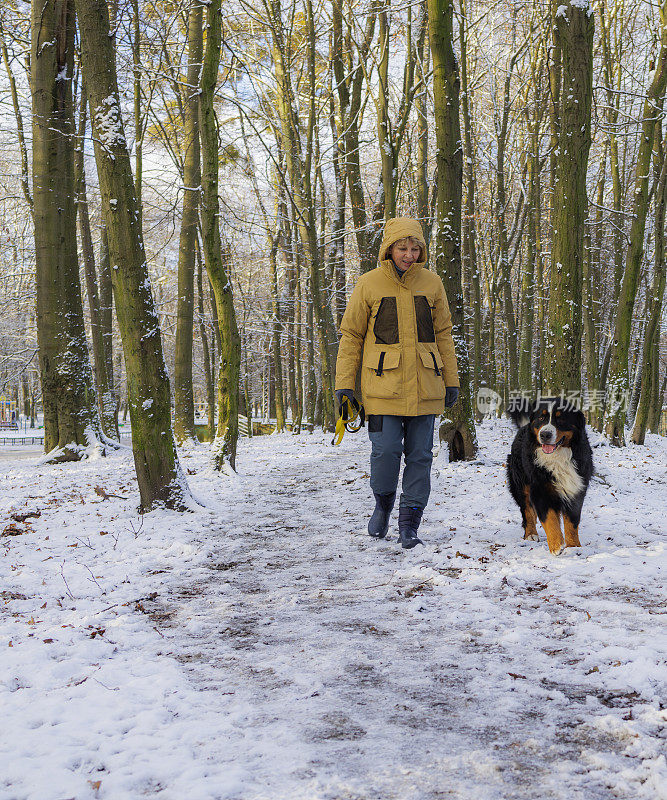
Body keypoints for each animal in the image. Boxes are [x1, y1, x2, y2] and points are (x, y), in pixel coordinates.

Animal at [508, 396, 592, 552]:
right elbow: (550, 519)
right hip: (521, 485)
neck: (557, 458)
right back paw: (531, 534)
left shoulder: (575, 488)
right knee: (527, 511)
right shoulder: (540, 489)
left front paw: (574, 546)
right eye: (541, 417)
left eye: (560, 419)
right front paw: (556, 545)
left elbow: (572, 521)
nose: (545, 434)